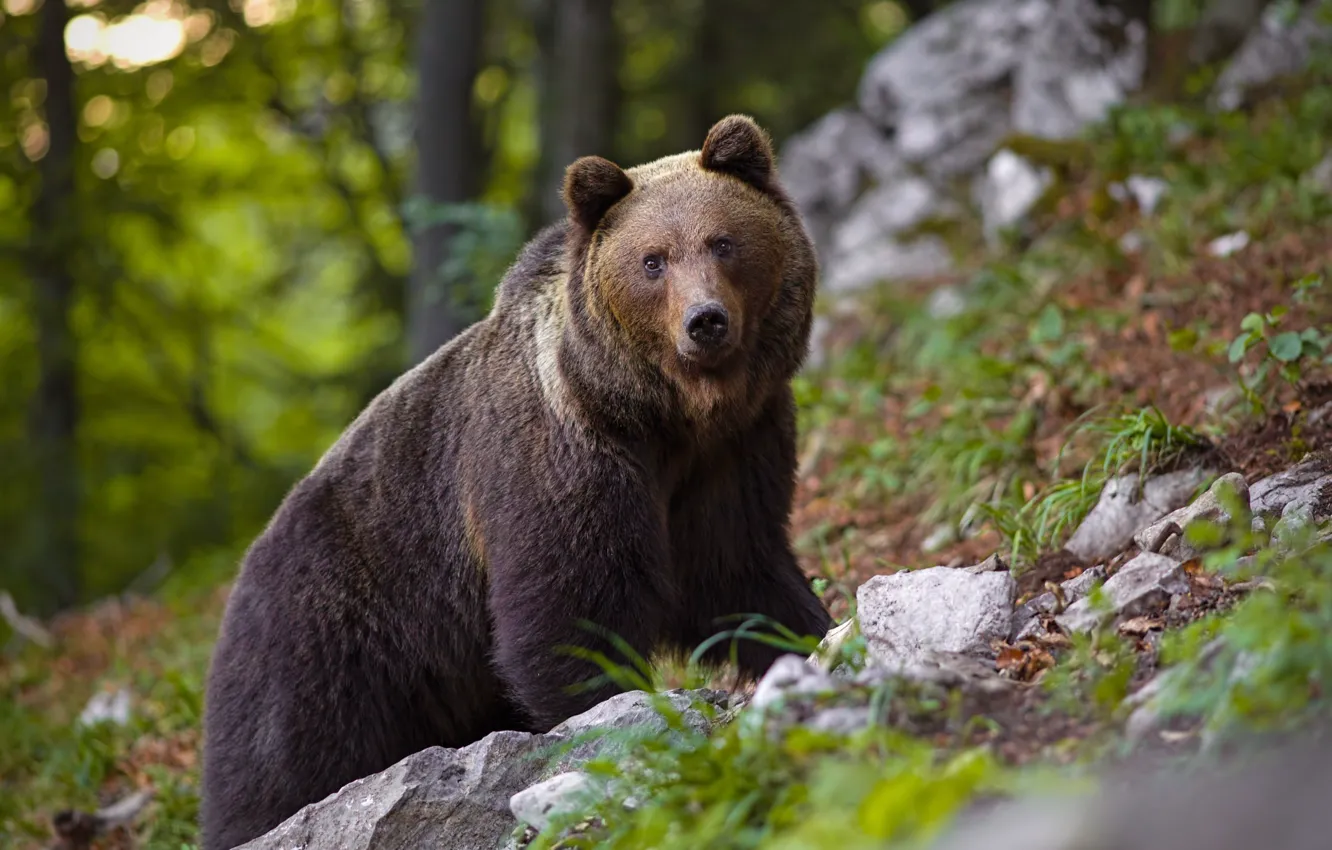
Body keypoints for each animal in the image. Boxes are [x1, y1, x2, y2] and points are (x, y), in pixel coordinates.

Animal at [198, 113, 833, 850]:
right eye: (653, 260)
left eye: (723, 242)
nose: (704, 321)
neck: (661, 416)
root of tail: (238, 577)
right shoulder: (561, 456)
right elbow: (569, 606)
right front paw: (607, 720)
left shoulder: (733, 453)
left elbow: (739, 571)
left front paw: (811, 634)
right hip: (325, 639)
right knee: (283, 765)